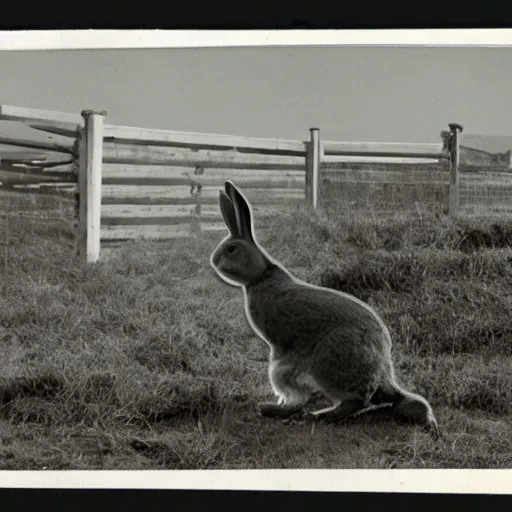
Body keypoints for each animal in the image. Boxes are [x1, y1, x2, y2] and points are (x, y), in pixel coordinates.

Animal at [210, 180, 442, 440]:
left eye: (231, 249)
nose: (213, 261)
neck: (260, 276)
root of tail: (382, 372)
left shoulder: (281, 355)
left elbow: (286, 383)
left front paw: (280, 406)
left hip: (328, 364)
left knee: (358, 401)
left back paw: (314, 415)